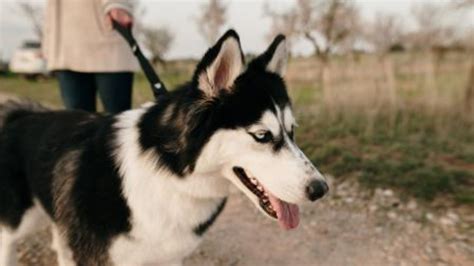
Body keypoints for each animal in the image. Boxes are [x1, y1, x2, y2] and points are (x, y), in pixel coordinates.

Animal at [0, 30, 328, 264]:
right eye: (262, 135)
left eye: (292, 131)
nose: (321, 189)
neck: (171, 174)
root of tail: (21, 113)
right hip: (16, 225)